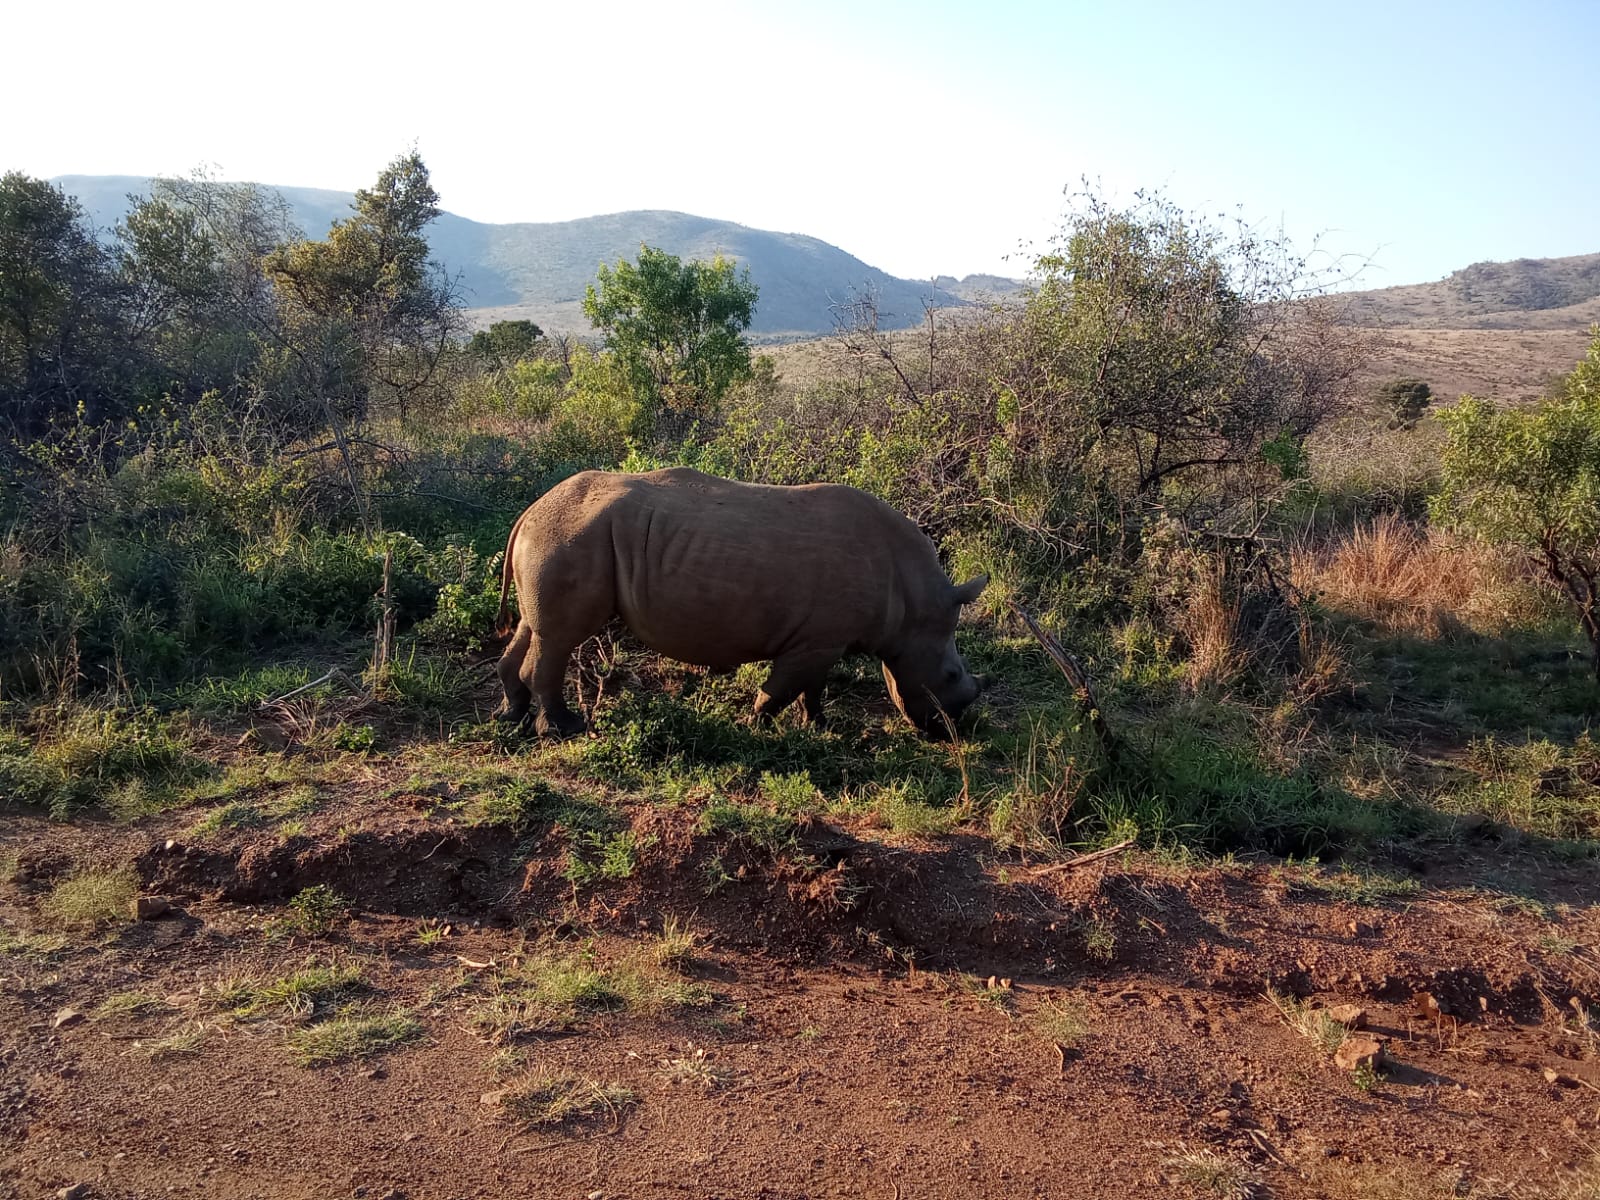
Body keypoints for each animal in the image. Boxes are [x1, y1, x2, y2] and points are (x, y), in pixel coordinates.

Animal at [492, 467, 989, 738]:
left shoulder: (821, 639)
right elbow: (783, 688)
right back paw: (564, 729)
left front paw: (818, 726)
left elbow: (813, 687)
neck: (913, 602)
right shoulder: (816, 641)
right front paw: (756, 724)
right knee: (559, 637)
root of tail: (529, 511)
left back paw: (510, 718)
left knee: (533, 629)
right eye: (950, 676)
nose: (952, 731)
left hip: (558, 537)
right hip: (572, 537)